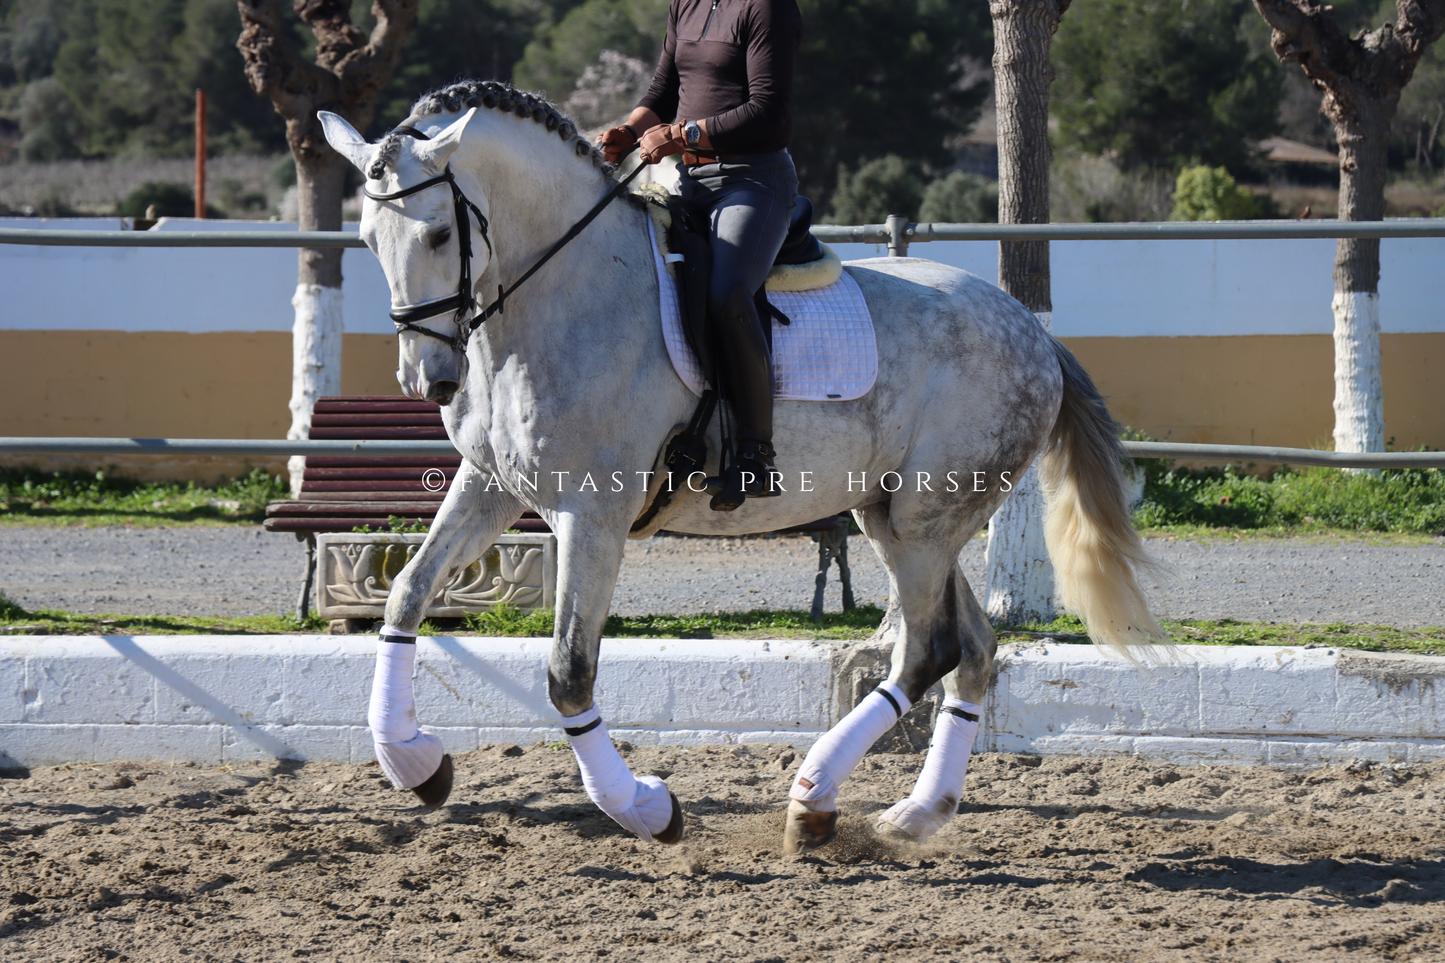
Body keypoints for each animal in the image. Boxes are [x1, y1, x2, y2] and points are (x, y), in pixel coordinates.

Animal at [319, 80, 1167, 853]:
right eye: (365, 238)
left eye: (437, 235)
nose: (427, 380)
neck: (562, 292)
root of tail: (1033, 332)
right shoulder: (491, 488)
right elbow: (405, 594)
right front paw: (415, 762)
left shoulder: (592, 514)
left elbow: (568, 672)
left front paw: (645, 808)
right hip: (895, 519)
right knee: (974, 652)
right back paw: (915, 813)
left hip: (927, 522)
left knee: (928, 650)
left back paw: (813, 800)